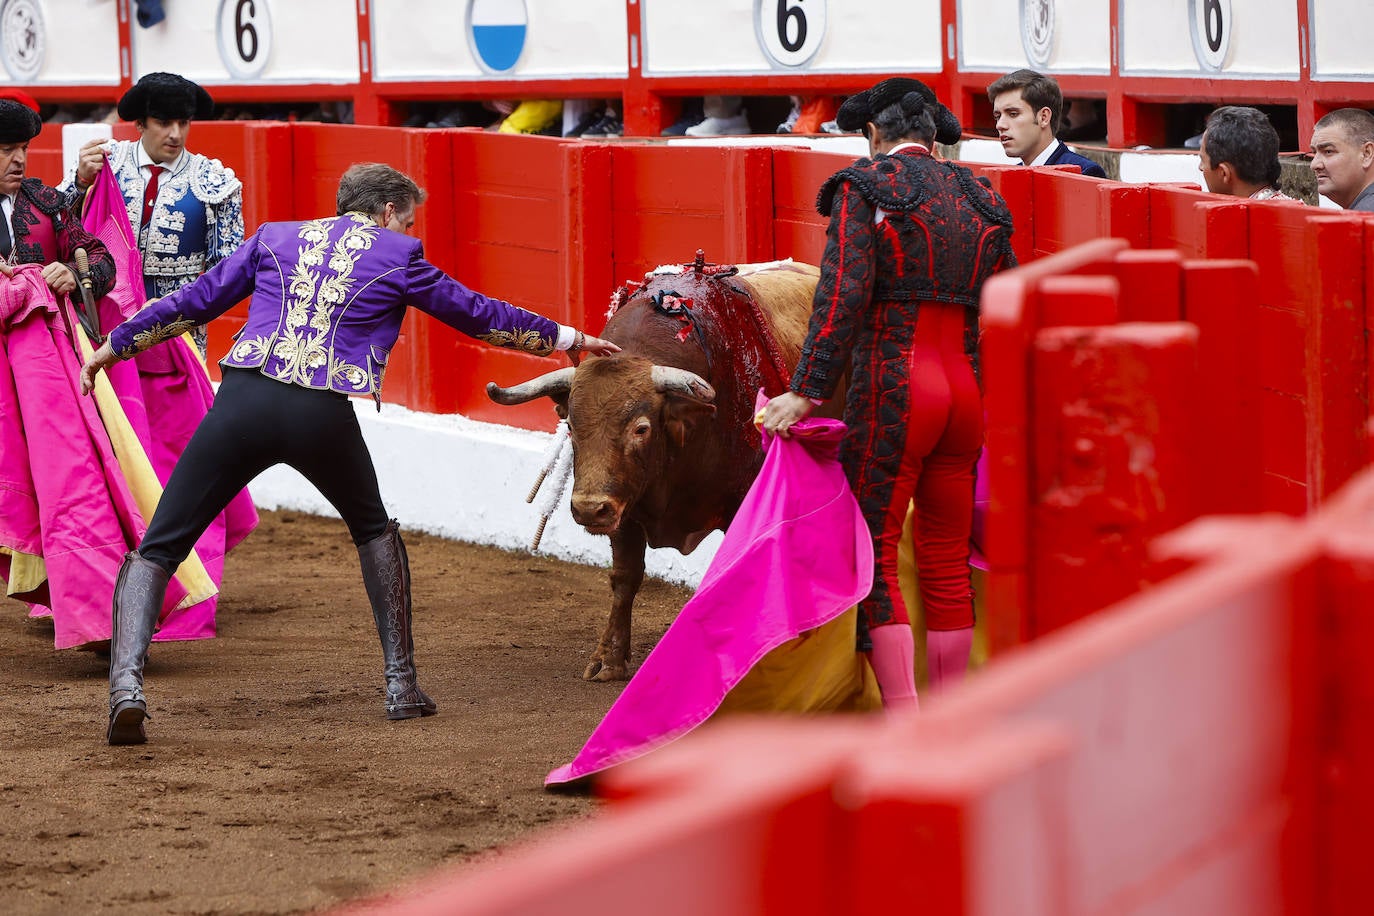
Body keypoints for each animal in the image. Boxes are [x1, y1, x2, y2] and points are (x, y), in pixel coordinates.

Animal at [489, 258, 824, 681]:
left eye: (641, 428)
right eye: (571, 425)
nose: (588, 508)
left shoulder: (741, 503)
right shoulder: (623, 504)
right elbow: (625, 576)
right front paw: (609, 659)